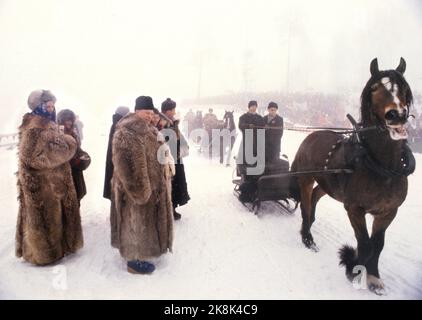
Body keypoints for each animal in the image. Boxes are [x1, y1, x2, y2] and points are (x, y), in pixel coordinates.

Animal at [290, 58, 416, 296]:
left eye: (404, 88)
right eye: (374, 88)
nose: (396, 115)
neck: (382, 167)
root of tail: (311, 134)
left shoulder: (388, 212)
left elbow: (377, 245)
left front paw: (374, 278)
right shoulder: (354, 208)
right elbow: (365, 244)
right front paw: (352, 265)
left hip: (327, 184)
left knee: (315, 196)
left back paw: (311, 223)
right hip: (306, 178)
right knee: (305, 204)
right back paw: (307, 237)